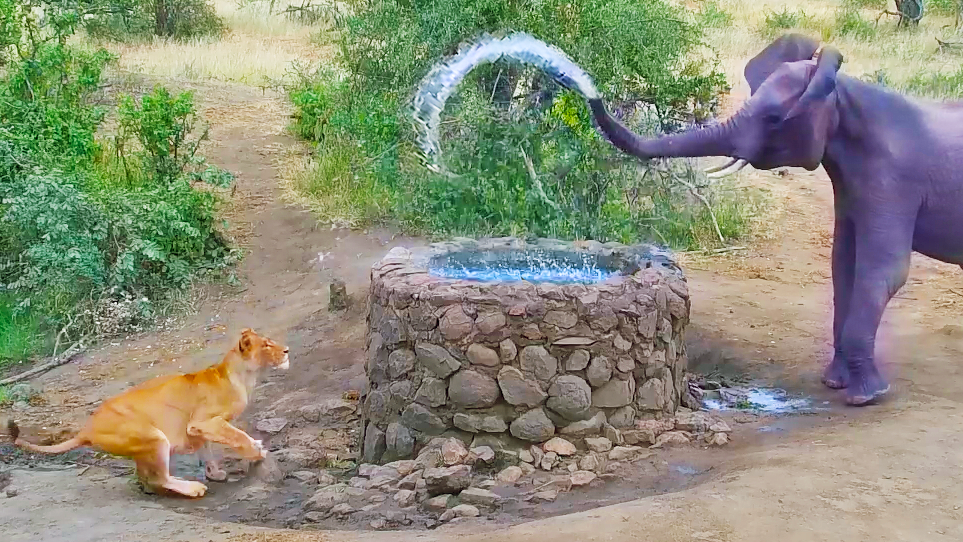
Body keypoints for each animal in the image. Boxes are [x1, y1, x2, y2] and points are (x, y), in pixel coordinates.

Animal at [588, 33, 963, 408]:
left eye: (772, 119)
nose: (588, 89)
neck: (841, 91)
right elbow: (842, 265)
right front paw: (835, 383)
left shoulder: (894, 181)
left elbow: (883, 272)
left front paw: (866, 398)